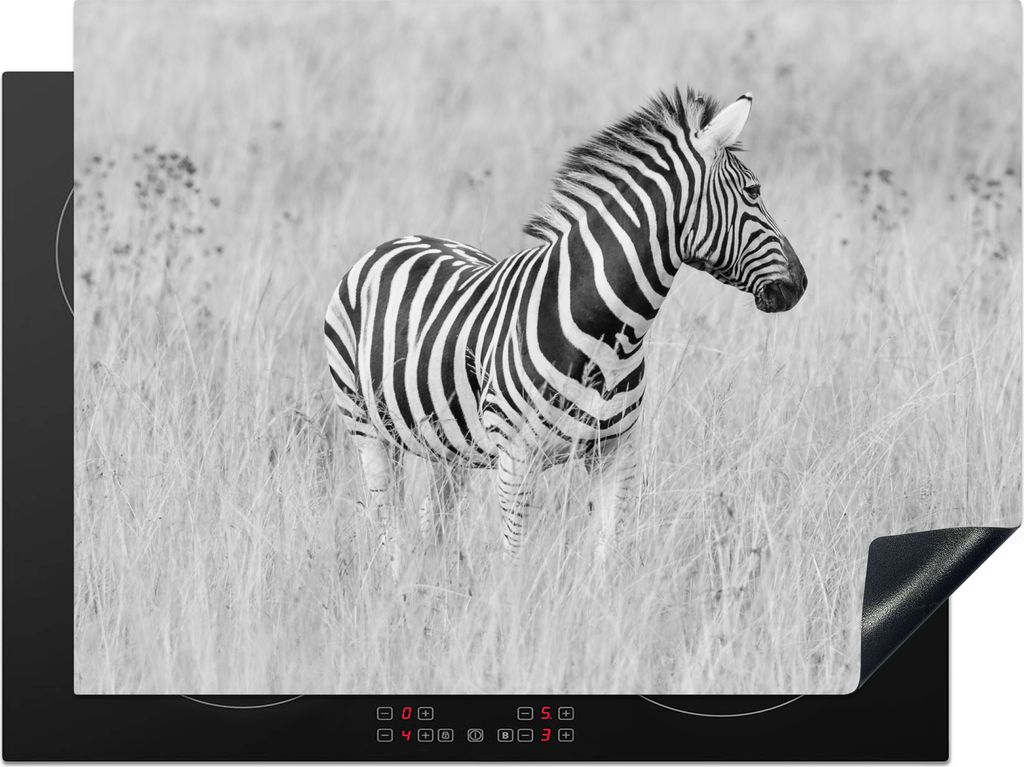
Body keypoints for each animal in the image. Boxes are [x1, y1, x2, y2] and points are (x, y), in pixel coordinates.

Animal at [324, 87, 806, 575]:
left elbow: (608, 557)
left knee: (433, 524)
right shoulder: (516, 460)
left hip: (447, 444)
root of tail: (394, 242)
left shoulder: (617, 452)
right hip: (366, 426)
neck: (614, 337)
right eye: (754, 192)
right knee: (390, 528)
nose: (800, 284)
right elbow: (515, 561)